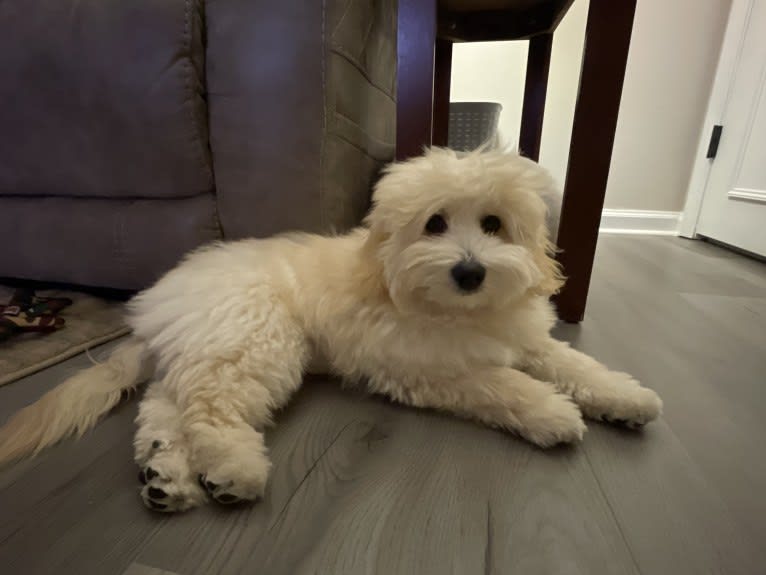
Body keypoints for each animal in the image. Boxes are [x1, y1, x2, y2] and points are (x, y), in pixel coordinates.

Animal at [0, 148, 660, 512]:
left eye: (494, 224)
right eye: (435, 223)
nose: (470, 271)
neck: (453, 307)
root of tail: (162, 299)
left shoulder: (526, 339)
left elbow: (573, 363)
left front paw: (627, 398)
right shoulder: (427, 367)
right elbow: (504, 385)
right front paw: (553, 414)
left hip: (208, 350)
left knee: (166, 406)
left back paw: (167, 476)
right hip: (254, 343)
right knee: (211, 410)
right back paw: (232, 471)